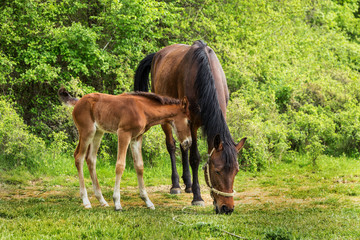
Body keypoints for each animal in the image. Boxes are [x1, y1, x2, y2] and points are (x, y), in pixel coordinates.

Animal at [57, 88, 191, 210]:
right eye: (189, 121)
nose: (188, 142)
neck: (142, 110)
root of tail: (78, 101)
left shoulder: (136, 138)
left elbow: (139, 166)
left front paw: (147, 201)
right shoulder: (123, 133)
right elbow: (120, 165)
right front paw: (117, 202)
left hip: (98, 132)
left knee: (90, 159)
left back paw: (102, 200)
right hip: (87, 131)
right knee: (78, 157)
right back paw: (86, 201)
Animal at [135, 40, 248, 215]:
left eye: (236, 171)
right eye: (217, 171)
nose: (226, 208)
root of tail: (157, 55)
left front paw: (203, 195)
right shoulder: (193, 122)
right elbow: (195, 158)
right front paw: (198, 197)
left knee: (184, 146)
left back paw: (187, 184)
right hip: (166, 120)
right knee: (172, 146)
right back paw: (176, 185)